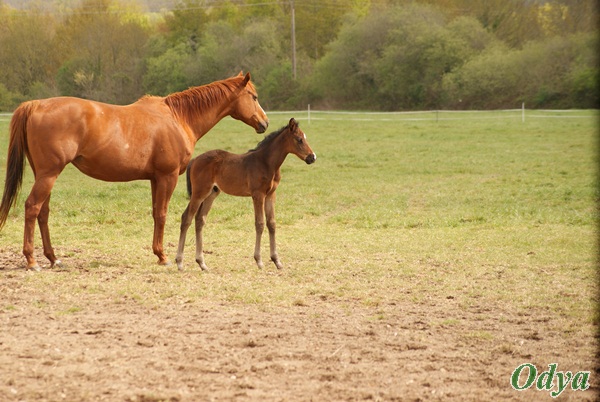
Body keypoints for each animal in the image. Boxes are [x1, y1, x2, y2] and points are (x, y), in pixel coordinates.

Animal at [0, 72, 268, 270]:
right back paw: (32, 260)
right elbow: (162, 213)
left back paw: (53, 258)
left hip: (44, 175)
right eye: (254, 96)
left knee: (42, 213)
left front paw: (158, 253)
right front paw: (163, 257)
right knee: (32, 208)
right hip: (49, 174)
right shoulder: (167, 176)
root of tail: (36, 105)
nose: (264, 123)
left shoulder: (154, 179)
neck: (177, 117)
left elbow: (155, 213)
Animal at [175, 118, 314, 272]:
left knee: (200, 219)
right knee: (186, 218)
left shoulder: (271, 195)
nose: (312, 157)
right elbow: (260, 223)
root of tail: (194, 160)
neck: (266, 162)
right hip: (199, 193)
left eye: (305, 138)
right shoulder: (258, 195)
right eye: (299, 139)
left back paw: (202, 263)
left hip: (211, 194)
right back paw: (180, 262)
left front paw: (277, 261)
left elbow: (271, 223)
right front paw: (259, 261)